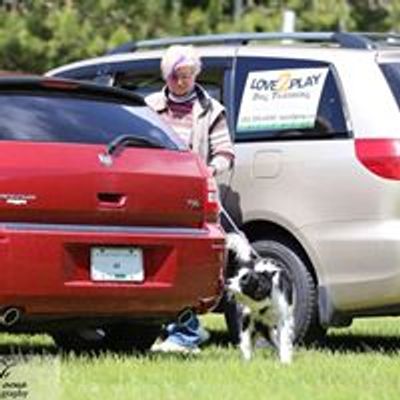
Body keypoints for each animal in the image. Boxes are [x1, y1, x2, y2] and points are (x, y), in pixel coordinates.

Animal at [227, 233, 296, 364]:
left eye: (244, 280)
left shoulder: (283, 319)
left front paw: (285, 361)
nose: (227, 281)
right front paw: (246, 360)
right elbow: (245, 341)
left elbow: (283, 340)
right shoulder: (248, 317)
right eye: (236, 275)